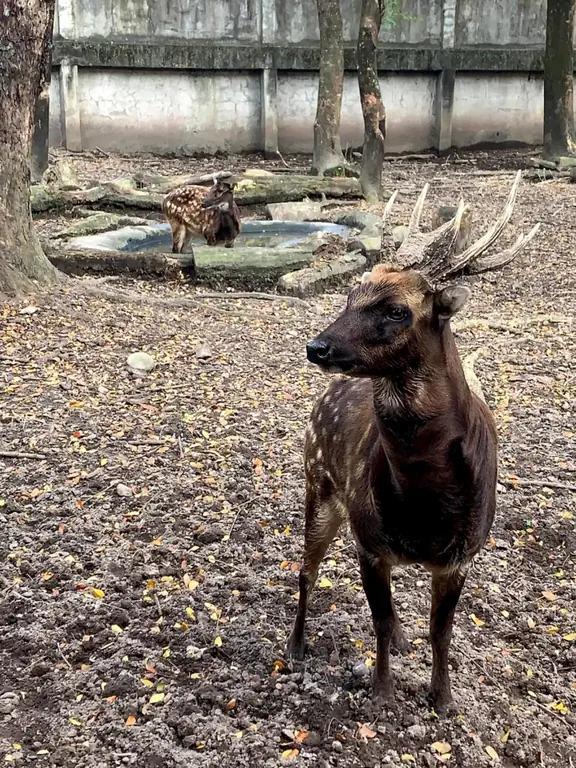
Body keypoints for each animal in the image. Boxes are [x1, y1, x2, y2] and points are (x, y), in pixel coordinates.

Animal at [286, 172, 540, 714]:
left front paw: (443, 698)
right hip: (318, 483)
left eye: (396, 310)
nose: (317, 346)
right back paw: (295, 647)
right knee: (305, 570)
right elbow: (378, 621)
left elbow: (440, 632)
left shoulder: (461, 555)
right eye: (348, 296)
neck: (426, 499)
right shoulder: (370, 540)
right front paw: (382, 692)